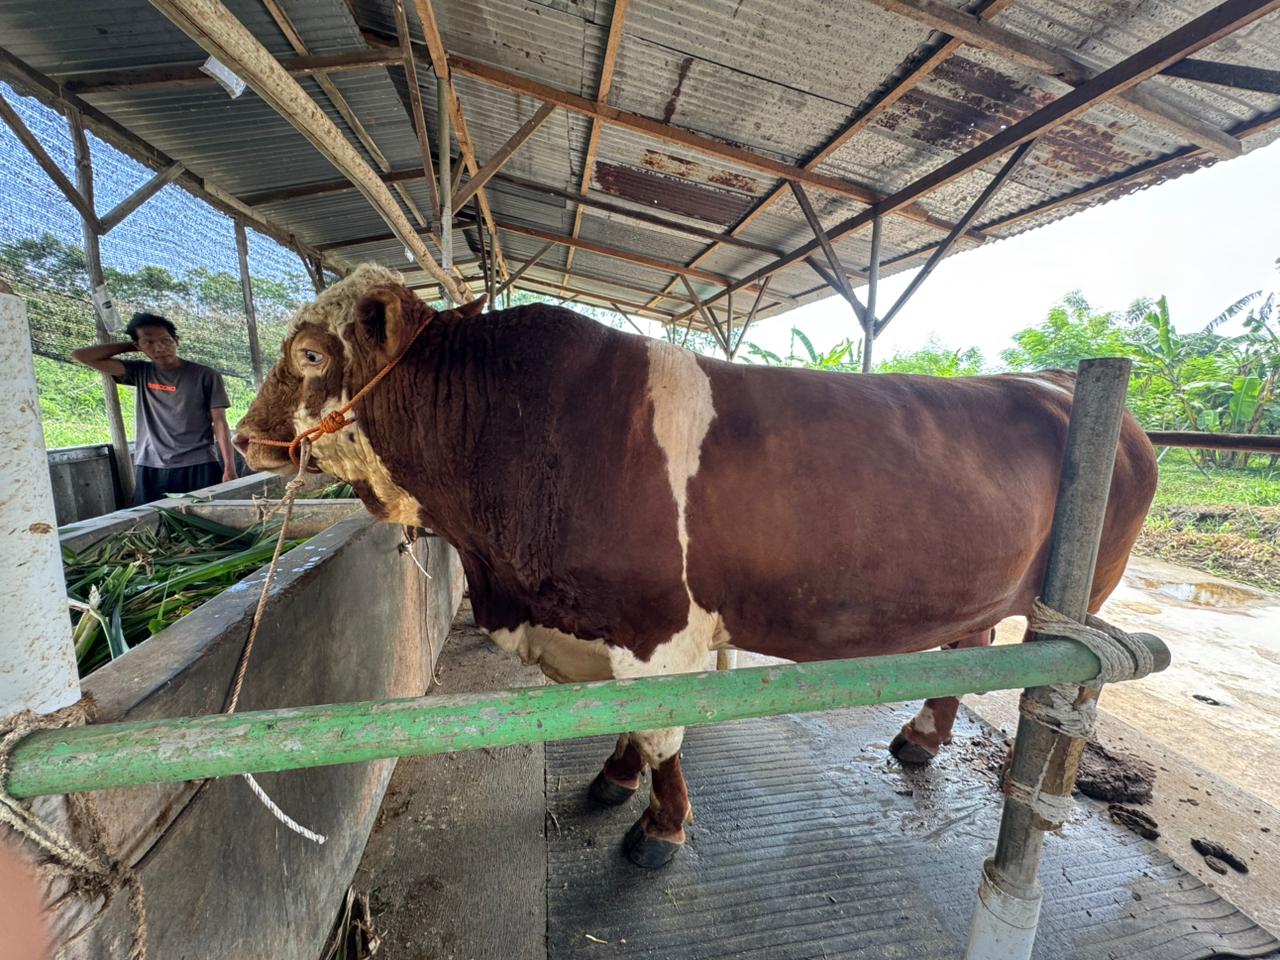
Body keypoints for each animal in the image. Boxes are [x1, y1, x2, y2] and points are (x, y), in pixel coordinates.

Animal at [233, 264, 1158, 868]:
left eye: (312, 353)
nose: (245, 437)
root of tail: (1060, 383)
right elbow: (631, 726)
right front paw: (614, 777)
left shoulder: (655, 628)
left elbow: (662, 729)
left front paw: (659, 828)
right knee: (969, 644)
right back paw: (920, 741)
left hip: (1090, 586)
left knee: (1070, 684)